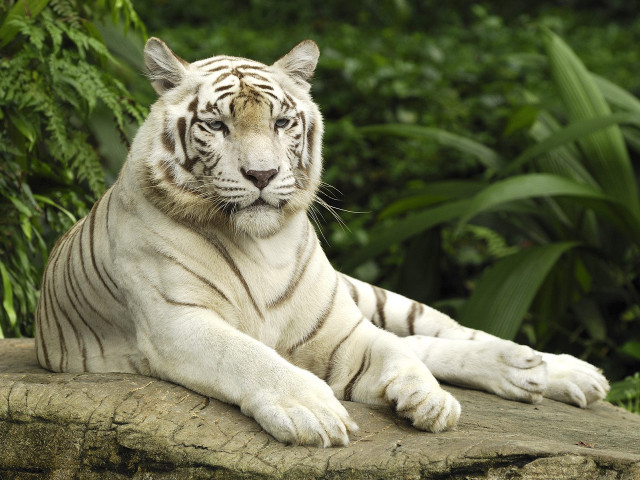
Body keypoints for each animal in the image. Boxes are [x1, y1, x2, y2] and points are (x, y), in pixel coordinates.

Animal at [35, 37, 609, 447]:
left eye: (282, 121)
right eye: (216, 125)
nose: (262, 174)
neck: (261, 245)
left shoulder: (338, 329)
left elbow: (394, 351)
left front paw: (428, 400)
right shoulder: (178, 323)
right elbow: (248, 356)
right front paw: (313, 411)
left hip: (368, 296)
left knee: (435, 333)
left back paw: (551, 369)